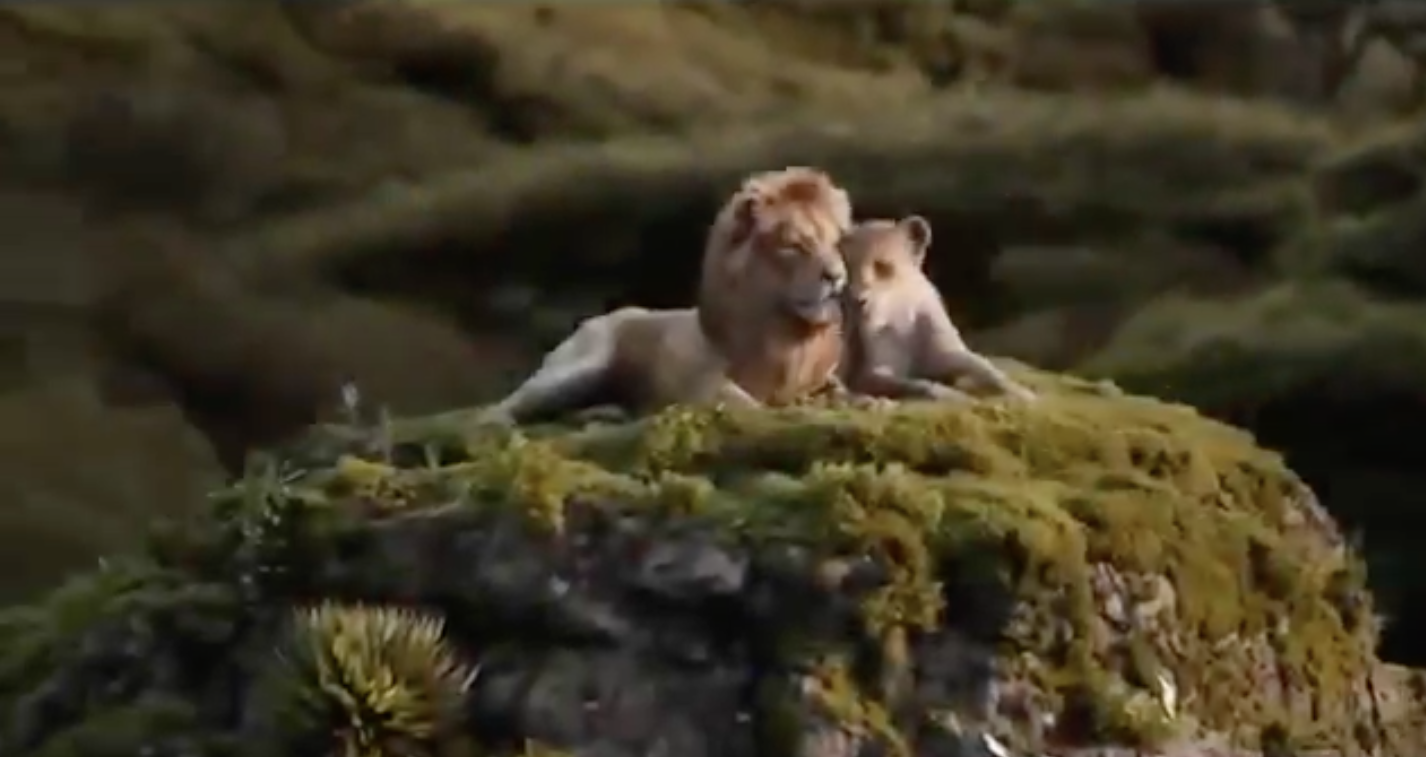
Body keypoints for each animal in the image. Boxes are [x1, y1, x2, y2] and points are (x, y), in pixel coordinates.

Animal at [476, 166, 853, 425]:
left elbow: (840, 392)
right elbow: (741, 401)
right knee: (508, 405)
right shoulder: (698, 385)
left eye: (835, 242)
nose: (837, 276)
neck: (787, 337)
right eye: (793, 245)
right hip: (580, 367)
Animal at [839, 215, 1037, 403]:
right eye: (846, 267)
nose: (857, 300)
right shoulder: (872, 374)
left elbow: (985, 367)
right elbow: (920, 384)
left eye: (883, 266)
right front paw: (958, 397)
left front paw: (1023, 395)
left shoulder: (945, 354)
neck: (901, 315)